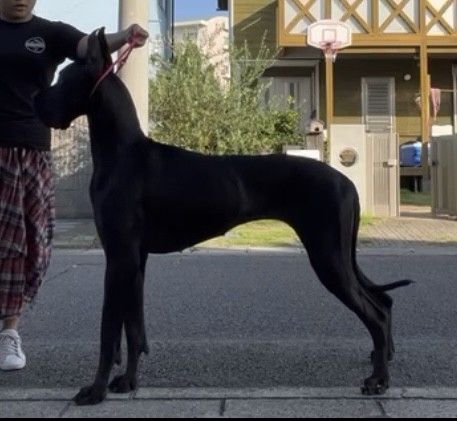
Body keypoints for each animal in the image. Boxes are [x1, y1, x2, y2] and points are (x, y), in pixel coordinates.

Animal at [35, 29, 412, 406]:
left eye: (65, 79)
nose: (38, 103)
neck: (121, 152)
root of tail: (347, 182)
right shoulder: (134, 259)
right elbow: (133, 326)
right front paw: (127, 382)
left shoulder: (118, 257)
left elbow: (109, 329)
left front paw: (95, 390)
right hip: (339, 257)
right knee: (383, 302)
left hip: (328, 257)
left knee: (376, 315)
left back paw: (378, 380)